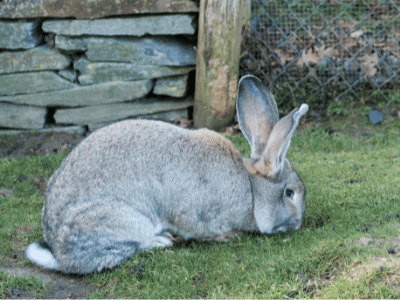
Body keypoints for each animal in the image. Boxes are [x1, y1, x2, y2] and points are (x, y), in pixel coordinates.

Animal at [25, 74, 310, 274]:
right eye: (289, 193)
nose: (298, 224)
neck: (251, 189)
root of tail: (59, 253)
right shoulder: (198, 215)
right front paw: (230, 236)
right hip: (122, 220)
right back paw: (161, 242)